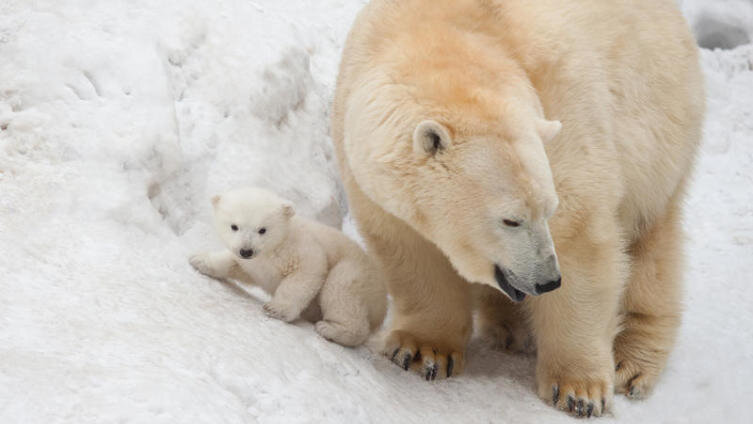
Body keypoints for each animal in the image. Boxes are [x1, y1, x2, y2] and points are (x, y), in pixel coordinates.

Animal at [188, 189, 388, 348]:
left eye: (262, 229)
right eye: (234, 226)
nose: (246, 251)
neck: (274, 246)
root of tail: (382, 303)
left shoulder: (300, 247)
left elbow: (308, 270)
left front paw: (276, 309)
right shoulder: (253, 263)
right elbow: (233, 263)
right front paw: (198, 260)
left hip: (354, 272)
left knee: (341, 292)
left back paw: (331, 329)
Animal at [332, 0, 704, 418]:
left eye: (548, 209)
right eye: (510, 219)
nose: (548, 280)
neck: (445, 45)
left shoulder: (564, 123)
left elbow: (581, 242)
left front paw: (579, 390)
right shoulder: (368, 168)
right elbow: (411, 250)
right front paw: (423, 350)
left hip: (659, 123)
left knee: (651, 248)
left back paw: (630, 362)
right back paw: (508, 326)